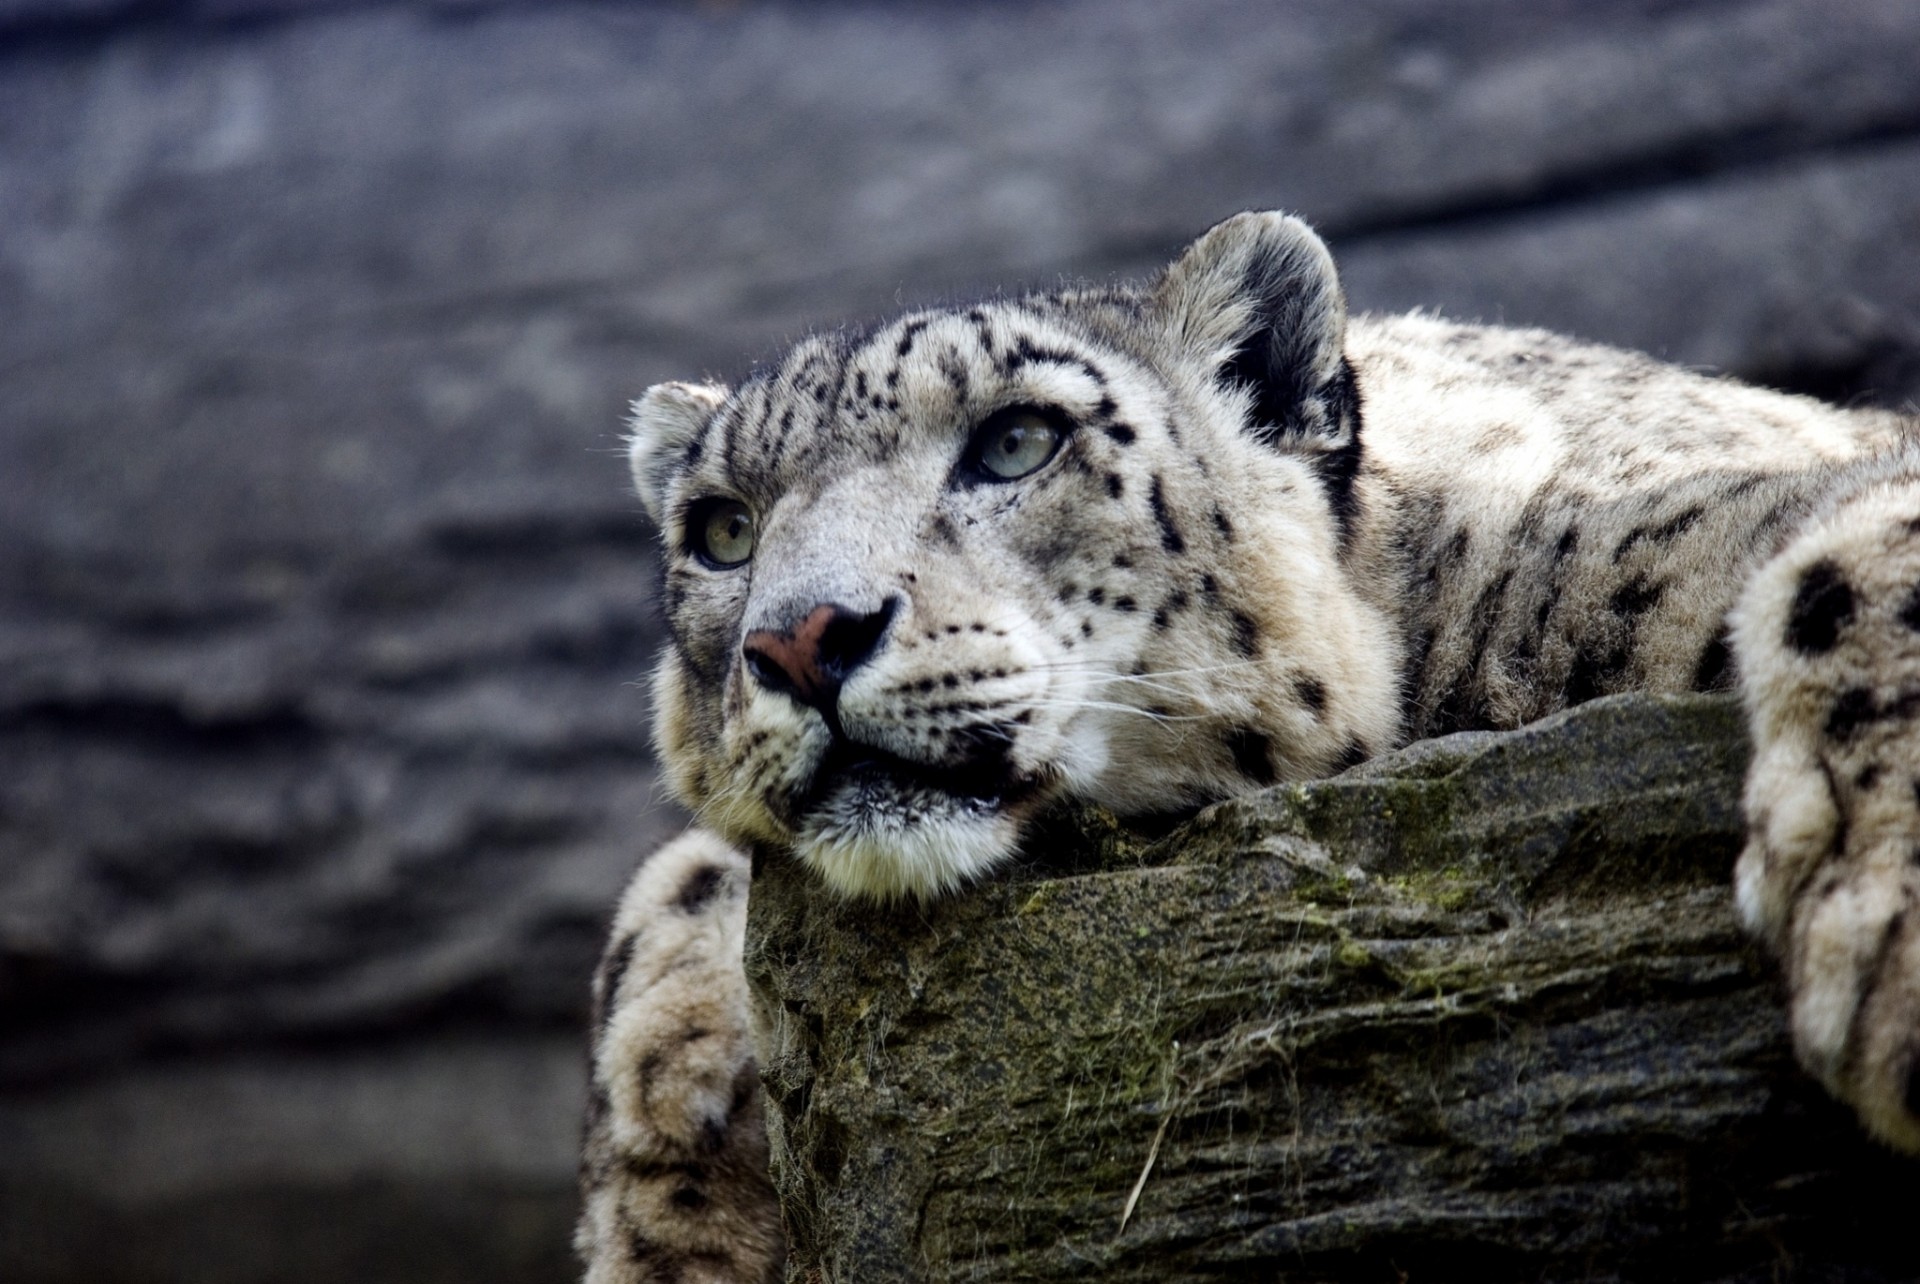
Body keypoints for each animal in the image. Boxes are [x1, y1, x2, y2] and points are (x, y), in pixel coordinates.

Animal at [576, 211, 1920, 1283]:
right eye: (722, 528)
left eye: (1017, 440)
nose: (801, 640)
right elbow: (677, 881)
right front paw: (667, 1215)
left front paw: (1891, 953)